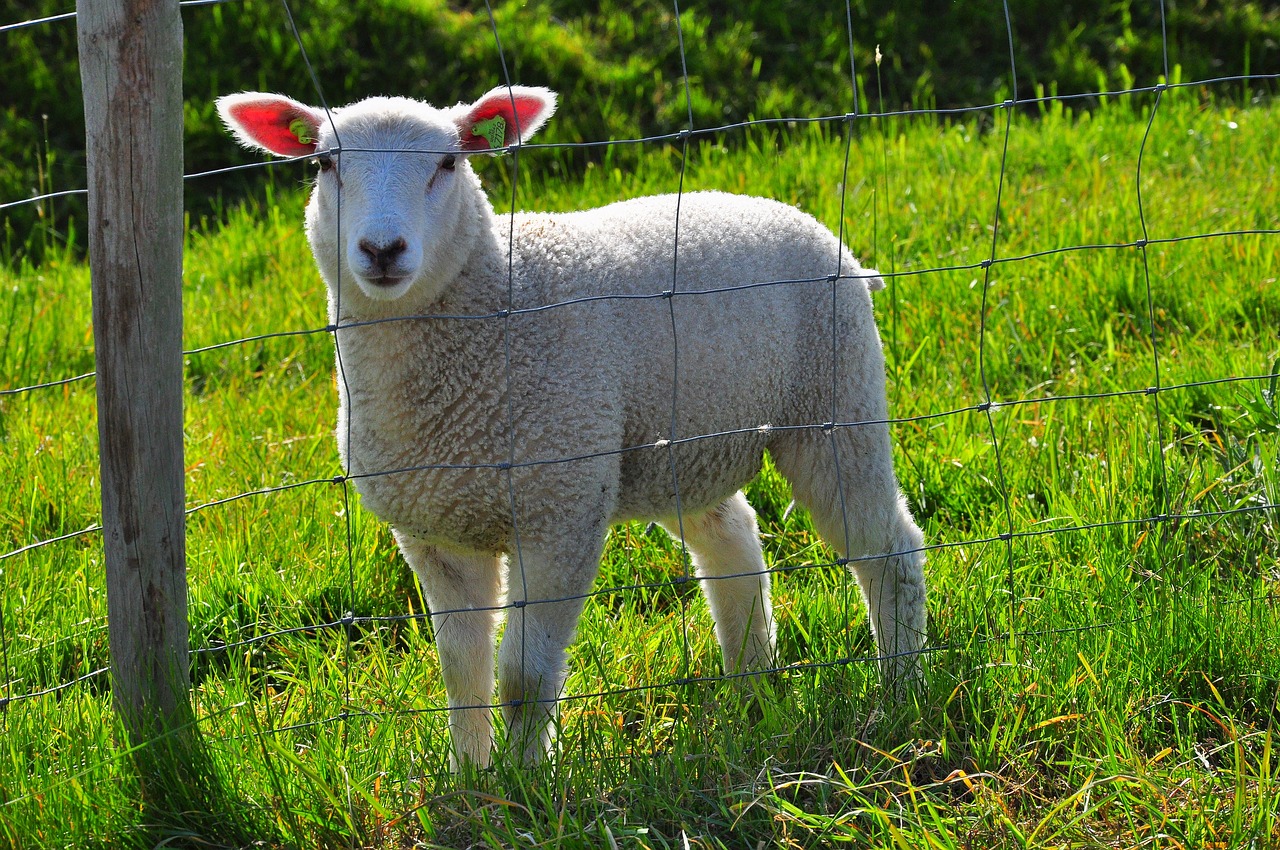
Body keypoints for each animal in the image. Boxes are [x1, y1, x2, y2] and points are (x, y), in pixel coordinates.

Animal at [215, 83, 926, 768]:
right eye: (323, 164)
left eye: (449, 163)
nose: (382, 250)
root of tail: (811, 228)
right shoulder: (435, 532)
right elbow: (461, 673)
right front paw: (472, 776)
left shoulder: (561, 508)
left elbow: (523, 678)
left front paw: (529, 779)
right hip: (684, 448)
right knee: (734, 547)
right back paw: (751, 690)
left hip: (835, 402)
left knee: (888, 550)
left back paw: (901, 692)